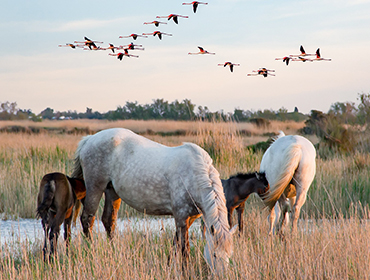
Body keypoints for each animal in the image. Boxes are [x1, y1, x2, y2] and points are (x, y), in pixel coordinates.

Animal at [71, 128, 236, 272]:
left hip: (112, 191)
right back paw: (91, 252)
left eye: (229, 256)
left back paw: (114, 252)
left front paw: (169, 265)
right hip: (95, 187)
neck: (194, 175)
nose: (222, 276)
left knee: (108, 220)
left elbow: (176, 242)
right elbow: (184, 247)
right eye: (214, 254)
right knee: (87, 219)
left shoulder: (189, 218)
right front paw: (185, 270)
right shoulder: (181, 216)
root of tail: (89, 139)